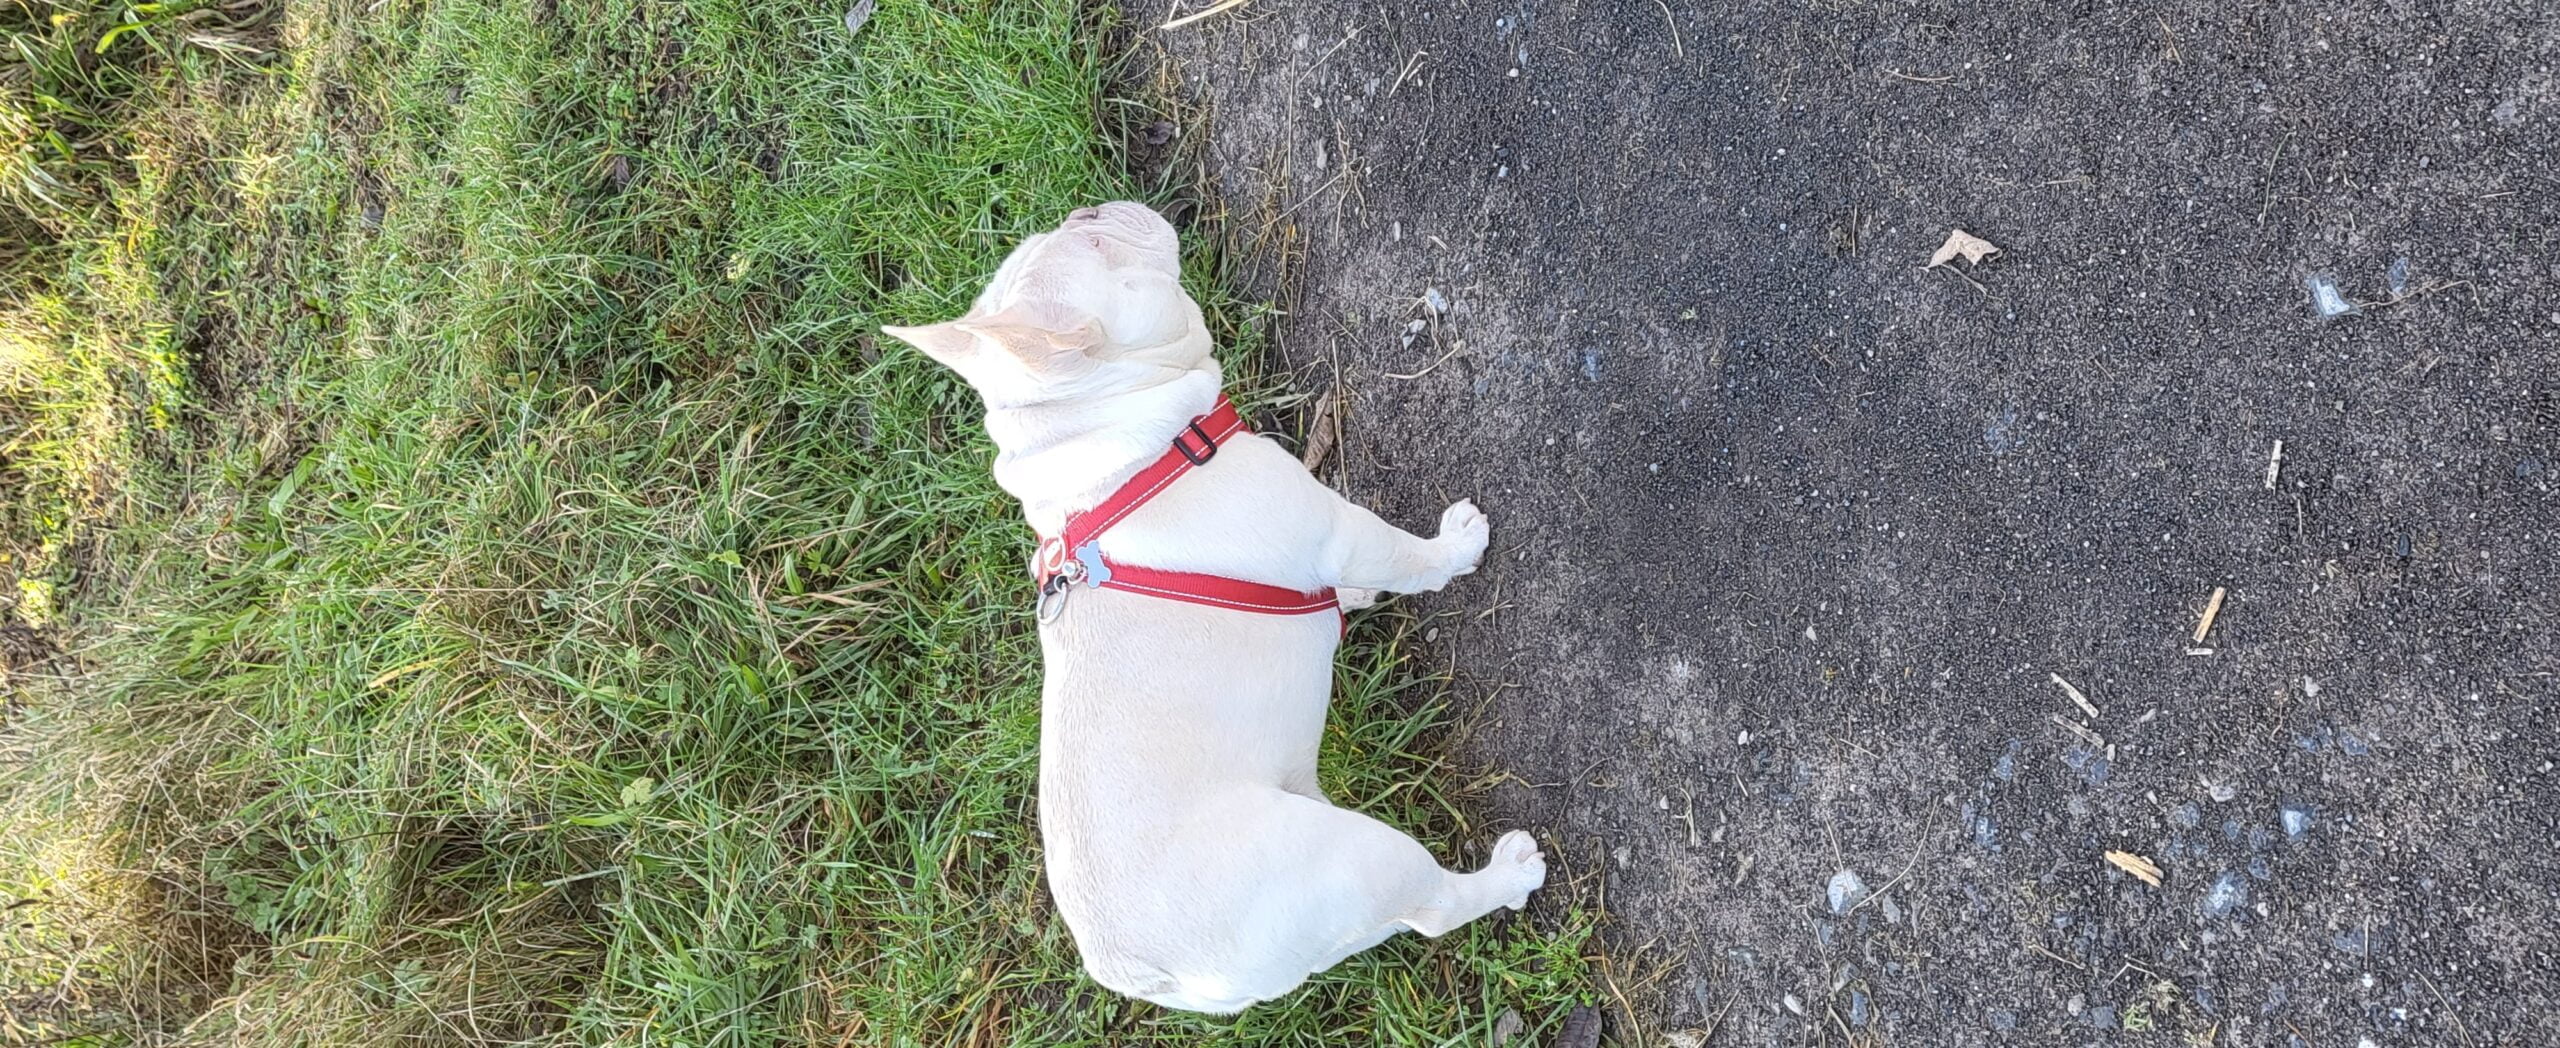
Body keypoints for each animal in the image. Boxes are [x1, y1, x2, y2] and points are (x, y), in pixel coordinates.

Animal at [882, 202, 1545, 1013]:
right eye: (1094, 240)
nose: (1091, 206)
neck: (1124, 458)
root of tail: (1145, 968)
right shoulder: (1339, 528)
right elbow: (1404, 557)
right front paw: (1453, 549)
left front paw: (1348, 598)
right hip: (1352, 859)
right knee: (1432, 908)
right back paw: (1509, 875)